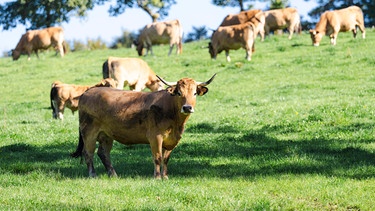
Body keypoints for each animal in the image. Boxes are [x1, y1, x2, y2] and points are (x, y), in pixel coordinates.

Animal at [71, 73, 217, 179]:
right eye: (179, 93)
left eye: (195, 93)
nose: (187, 107)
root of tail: (88, 92)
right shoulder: (155, 137)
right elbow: (157, 157)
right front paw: (157, 177)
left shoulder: (171, 140)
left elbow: (166, 159)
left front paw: (165, 177)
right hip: (89, 132)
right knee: (88, 153)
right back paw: (93, 175)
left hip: (106, 135)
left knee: (103, 153)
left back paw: (113, 174)